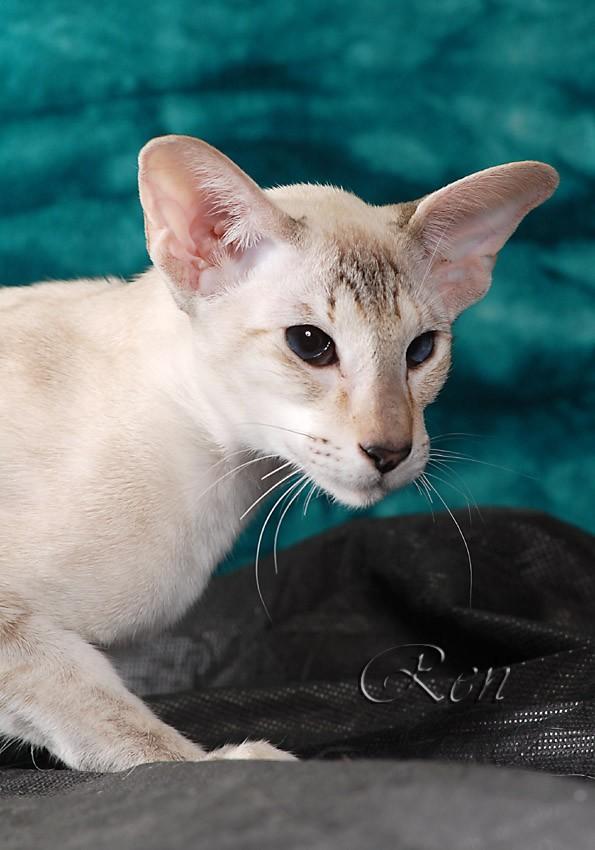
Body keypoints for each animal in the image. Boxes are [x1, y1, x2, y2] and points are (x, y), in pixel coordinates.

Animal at [0, 135, 558, 771]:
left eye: (420, 351)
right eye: (310, 344)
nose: (390, 451)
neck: (215, 472)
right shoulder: (18, 630)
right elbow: (109, 716)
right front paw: (227, 763)